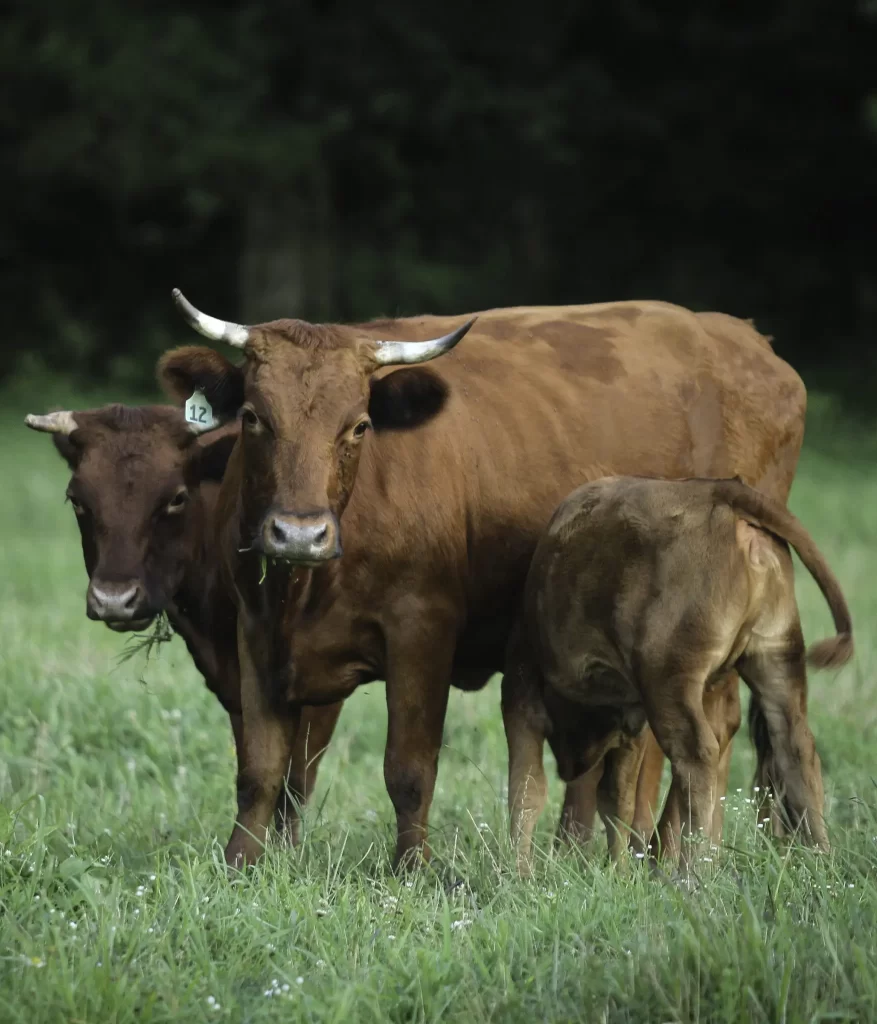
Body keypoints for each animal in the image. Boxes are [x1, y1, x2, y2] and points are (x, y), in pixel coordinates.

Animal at [158, 292, 807, 868]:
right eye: (253, 418)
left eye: (359, 426)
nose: (298, 534)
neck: (305, 592)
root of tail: (746, 338)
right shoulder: (256, 629)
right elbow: (260, 770)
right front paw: (239, 865)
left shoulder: (422, 628)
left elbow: (409, 768)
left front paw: (411, 871)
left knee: (704, 733)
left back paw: (672, 855)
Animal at [504, 473, 852, 872]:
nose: (570, 765)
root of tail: (718, 490)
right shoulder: (631, 718)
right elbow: (616, 798)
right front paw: (619, 871)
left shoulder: (522, 689)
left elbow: (527, 789)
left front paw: (519, 871)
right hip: (778, 658)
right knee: (797, 749)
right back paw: (823, 863)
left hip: (670, 680)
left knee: (698, 758)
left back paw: (690, 874)